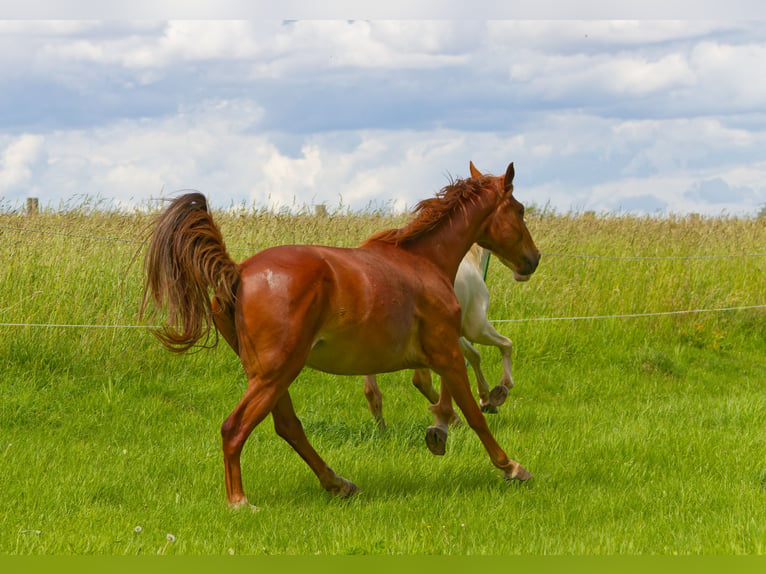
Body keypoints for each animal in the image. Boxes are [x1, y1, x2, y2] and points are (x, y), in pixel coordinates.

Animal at [364, 243, 520, 432]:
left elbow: (474, 355)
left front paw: (486, 400)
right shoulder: (477, 326)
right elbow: (505, 344)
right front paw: (498, 391)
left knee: (372, 391)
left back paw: (382, 428)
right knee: (421, 381)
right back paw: (454, 419)